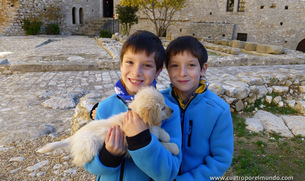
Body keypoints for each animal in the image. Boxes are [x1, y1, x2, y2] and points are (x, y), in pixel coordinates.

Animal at [38, 87, 180, 166]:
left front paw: (166, 136)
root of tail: (75, 136)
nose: (173, 110)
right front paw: (174, 147)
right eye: (162, 108)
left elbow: (159, 130)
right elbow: (163, 145)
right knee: (79, 160)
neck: (140, 117)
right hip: (89, 144)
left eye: (165, 104)